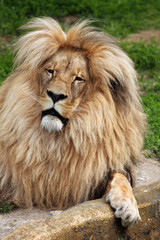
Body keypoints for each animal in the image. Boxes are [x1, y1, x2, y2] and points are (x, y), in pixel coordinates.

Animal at [0, 17, 145, 227]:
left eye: (78, 79)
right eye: (50, 71)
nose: (55, 95)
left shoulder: (98, 171)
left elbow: (120, 177)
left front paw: (128, 207)